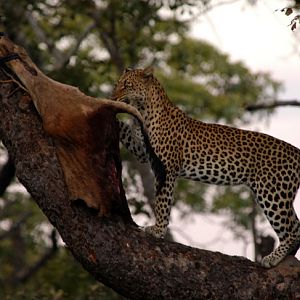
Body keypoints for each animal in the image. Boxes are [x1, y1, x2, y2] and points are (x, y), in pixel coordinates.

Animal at [112, 66, 300, 268]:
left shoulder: (166, 167)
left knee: (293, 230)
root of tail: (296, 151)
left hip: (272, 192)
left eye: (127, 85)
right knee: (296, 225)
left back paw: (273, 258)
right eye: (117, 84)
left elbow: (162, 202)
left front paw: (158, 230)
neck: (143, 110)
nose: (113, 96)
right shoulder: (140, 150)